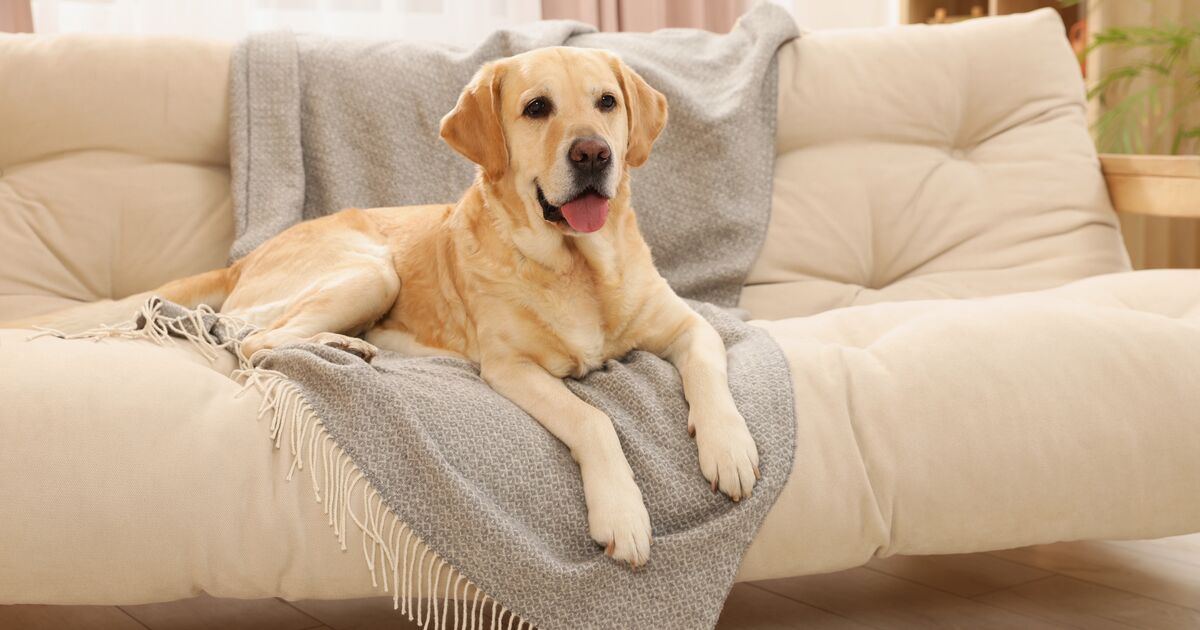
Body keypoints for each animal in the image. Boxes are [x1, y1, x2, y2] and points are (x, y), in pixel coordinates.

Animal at [103, 49, 758, 566]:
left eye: (607, 102)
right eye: (537, 108)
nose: (594, 154)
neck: (579, 268)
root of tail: (246, 257)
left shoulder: (686, 323)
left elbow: (709, 363)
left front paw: (729, 448)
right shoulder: (510, 367)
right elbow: (593, 419)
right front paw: (622, 513)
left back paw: (352, 344)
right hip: (371, 271)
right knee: (252, 341)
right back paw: (341, 346)